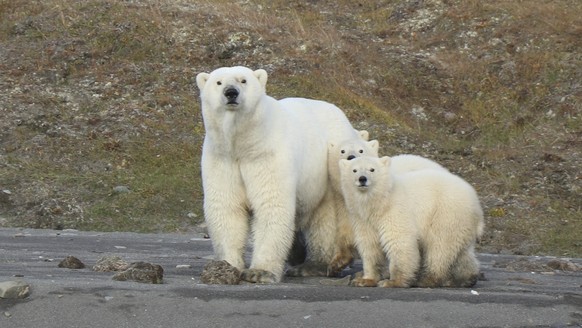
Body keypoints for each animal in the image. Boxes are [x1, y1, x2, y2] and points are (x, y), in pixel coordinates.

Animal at [196, 66, 360, 282]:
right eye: (218, 82)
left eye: (243, 80)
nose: (231, 93)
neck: (243, 144)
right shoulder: (222, 159)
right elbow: (226, 207)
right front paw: (227, 265)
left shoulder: (268, 155)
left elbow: (271, 205)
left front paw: (259, 272)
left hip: (329, 168)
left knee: (327, 218)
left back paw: (313, 265)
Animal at [340, 156, 486, 288]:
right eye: (354, 170)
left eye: (372, 169)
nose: (362, 179)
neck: (380, 202)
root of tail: (477, 205)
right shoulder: (363, 219)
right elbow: (369, 245)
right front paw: (364, 280)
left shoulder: (395, 211)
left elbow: (399, 242)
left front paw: (393, 282)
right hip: (460, 224)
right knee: (461, 252)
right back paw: (467, 278)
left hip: (446, 214)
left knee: (439, 247)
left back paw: (427, 280)